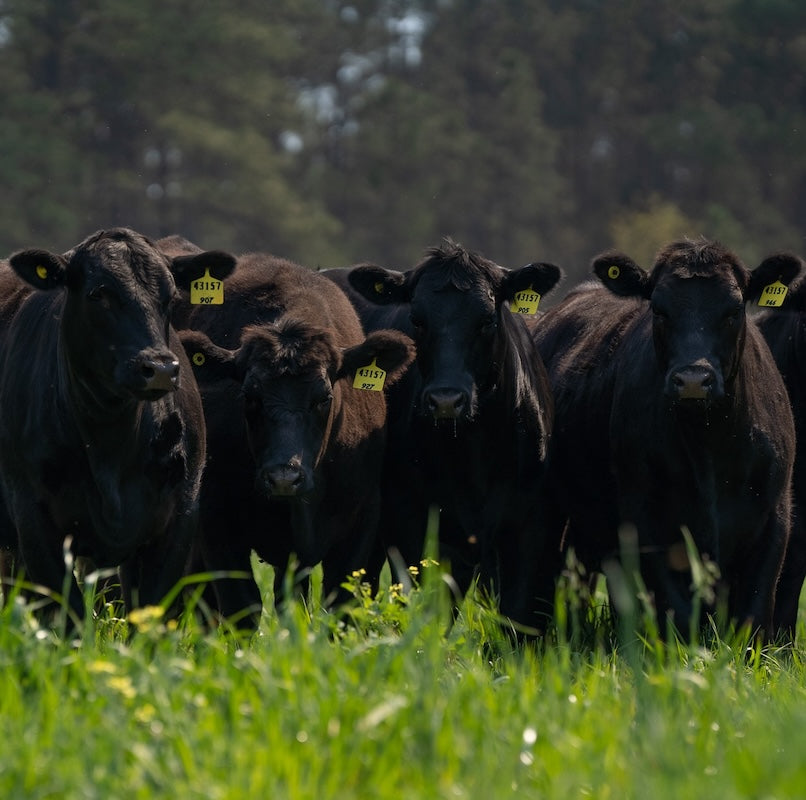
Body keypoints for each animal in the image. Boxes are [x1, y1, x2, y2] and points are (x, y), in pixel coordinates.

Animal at [0, 227, 236, 623]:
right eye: (99, 294)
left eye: (171, 296)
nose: (160, 368)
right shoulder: (32, 517)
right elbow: (69, 616)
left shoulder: (179, 517)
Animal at [176, 251, 415, 630]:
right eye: (250, 396)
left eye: (324, 397)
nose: (284, 478)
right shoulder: (216, 521)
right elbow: (241, 608)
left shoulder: (363, 517)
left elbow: (341, 607)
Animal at [334, 239, 562, 633]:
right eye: (417, 320)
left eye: (487, 320)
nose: (445, 399)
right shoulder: (414, 521)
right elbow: (434, 610)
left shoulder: (530, 525)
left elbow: (518, 617)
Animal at [534, 238, 800, 640]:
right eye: (659, 310)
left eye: (734, 309)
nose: (693, 379)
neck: (709, 446)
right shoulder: (645, 517)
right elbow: (677, 613)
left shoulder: (775, 518)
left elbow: (751, 618)